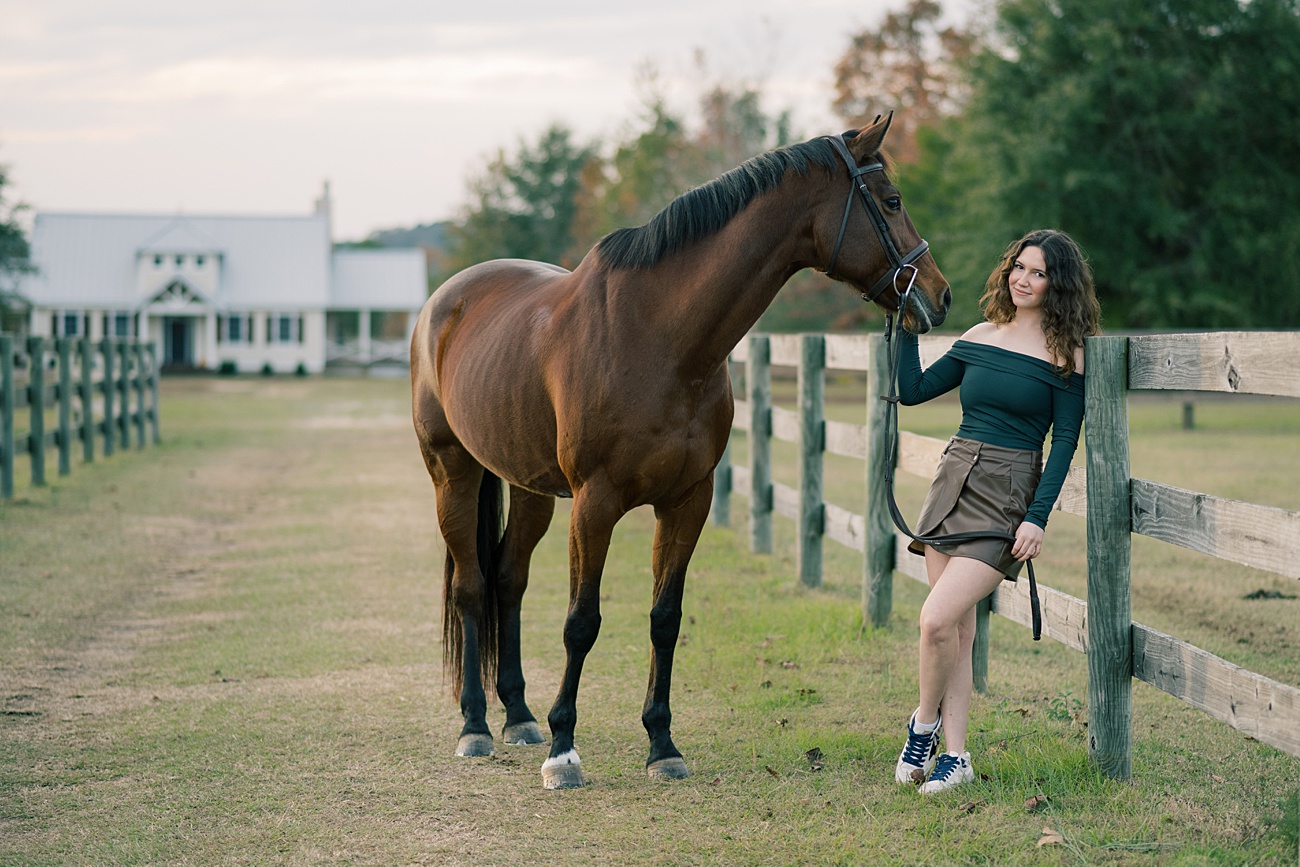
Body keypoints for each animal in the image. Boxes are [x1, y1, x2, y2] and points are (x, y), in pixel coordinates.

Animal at [410, 111, 951, 790]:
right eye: (892, 200)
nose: (940, 295)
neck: (659, 337)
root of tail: (443, 303)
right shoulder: (595, 504)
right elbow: (581, 622)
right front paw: (564, 750)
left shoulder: (688, 500)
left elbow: (665, 618)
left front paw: (661, 744)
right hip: (451, 472)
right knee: (472, 587)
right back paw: (477, 726)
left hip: (529, 487)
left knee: (508, 580)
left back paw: (519, 717)